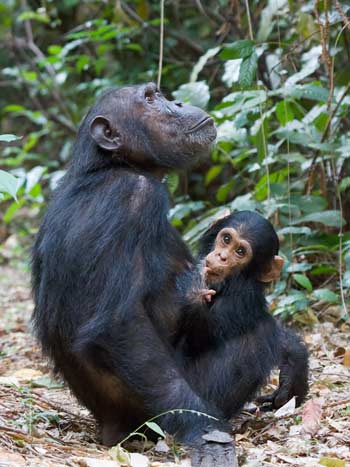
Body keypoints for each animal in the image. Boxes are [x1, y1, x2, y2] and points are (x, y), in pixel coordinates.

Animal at [31, 84, 237, 467]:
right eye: (150, 99)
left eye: (160, 95)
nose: (178, 101)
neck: (109, 166)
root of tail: (110, 429)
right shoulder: (133, 200)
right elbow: (119, 323)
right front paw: (207, 432)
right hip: (150, 419)